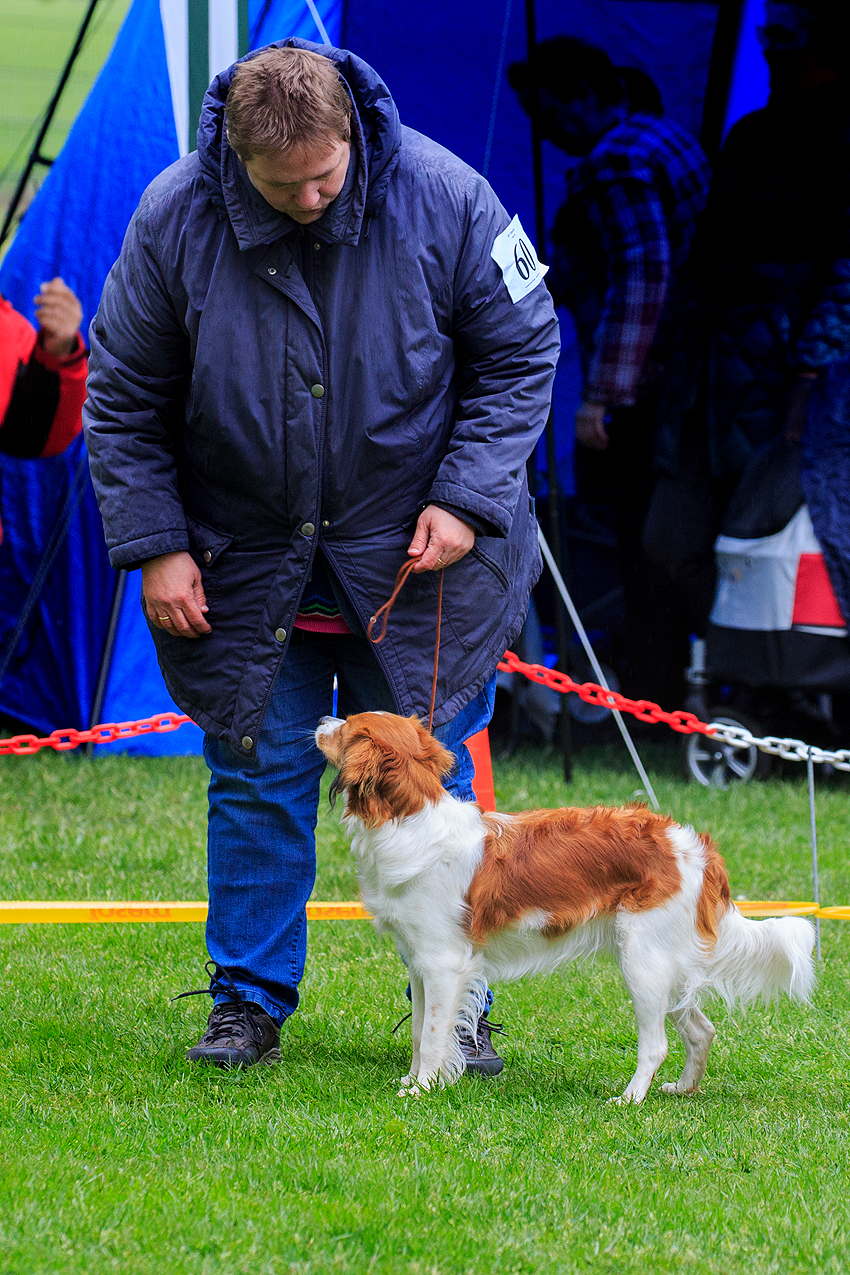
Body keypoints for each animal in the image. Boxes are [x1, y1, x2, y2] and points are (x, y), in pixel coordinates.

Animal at [314, 714, 815, 1101]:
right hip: (668, 968)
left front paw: (423, 1091)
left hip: (643, 964)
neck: (409, 821)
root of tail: (696, 848)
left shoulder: (444, 965)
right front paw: (415, 1080)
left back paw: (630, 1099)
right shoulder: (419, 965)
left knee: (656, 1045)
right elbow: (420, 1033)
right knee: (701, 1030)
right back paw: (682, 1089)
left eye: (348, 726)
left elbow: (436, 1035)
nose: (321, 719)